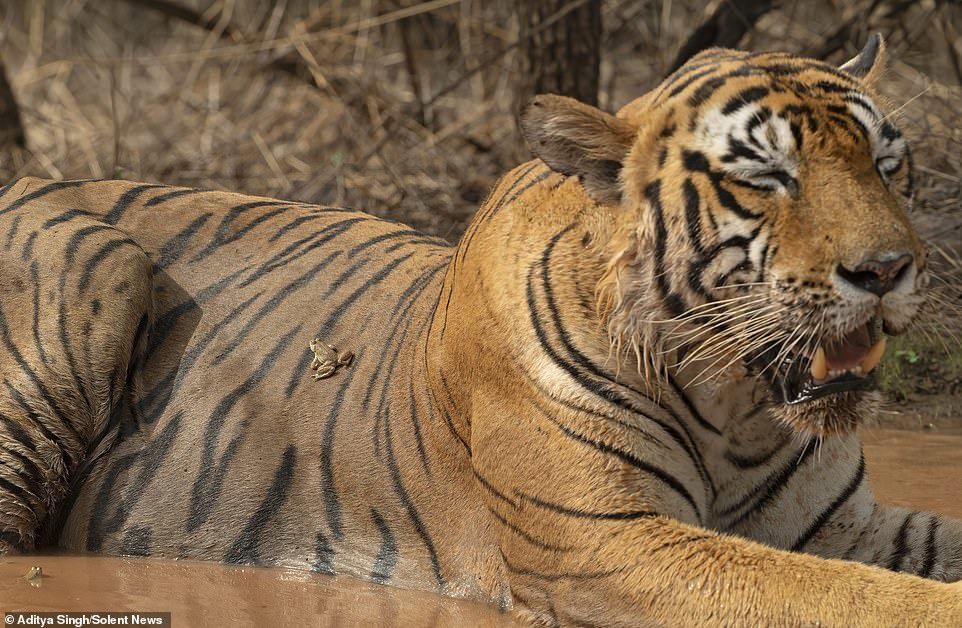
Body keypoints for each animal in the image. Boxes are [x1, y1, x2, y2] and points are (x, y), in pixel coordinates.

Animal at [1, 33, 960, 624]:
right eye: (767, 178)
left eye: (887, 164)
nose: (888, 269)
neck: (741, 411)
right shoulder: (606, 544)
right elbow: (845, 595)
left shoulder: (845, 526)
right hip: (96, 263)